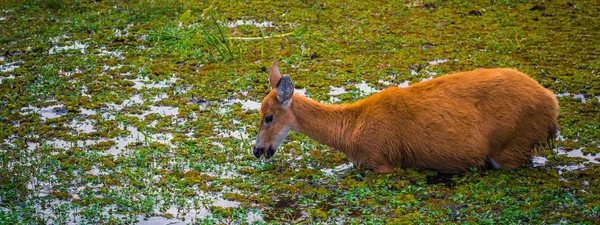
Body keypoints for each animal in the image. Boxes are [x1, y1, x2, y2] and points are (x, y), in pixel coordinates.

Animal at [252, 61, 556, 174]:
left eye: (268, 117)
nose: (257, 150)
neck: (350, 132)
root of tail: (553, 105)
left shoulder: (382, 161)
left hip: (511, 147)